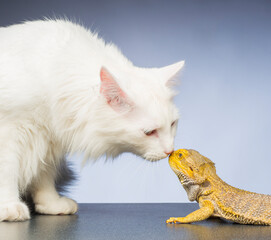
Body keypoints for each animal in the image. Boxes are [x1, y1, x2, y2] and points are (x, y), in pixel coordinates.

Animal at [0, 19, 185, 221]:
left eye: (173, 124)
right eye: (149, 132)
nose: (170, 150)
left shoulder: (48, 140)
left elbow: (43, 176)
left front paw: (51, 204)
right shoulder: (10, 134)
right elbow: (7, 172)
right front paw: (9, 206)